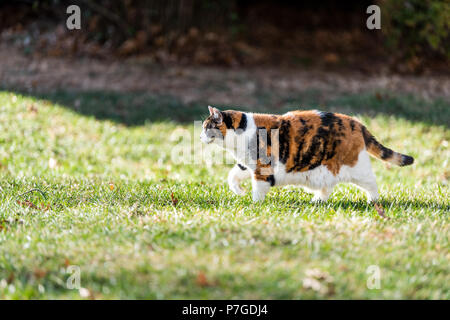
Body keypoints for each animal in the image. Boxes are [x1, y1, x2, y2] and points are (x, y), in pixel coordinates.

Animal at [201, 105, 414, 205]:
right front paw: (239, 191)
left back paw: (373, 201)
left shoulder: (263, 168)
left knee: (371, 182)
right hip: (324, 170)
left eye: (206, 127)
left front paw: (255, 204)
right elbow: (233, 175)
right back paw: (317, 201)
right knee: (328, 186)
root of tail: (357, 122)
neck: (242, 132)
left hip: (356, 167)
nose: (200, 136)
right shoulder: (248, 164)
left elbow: (258, 189)